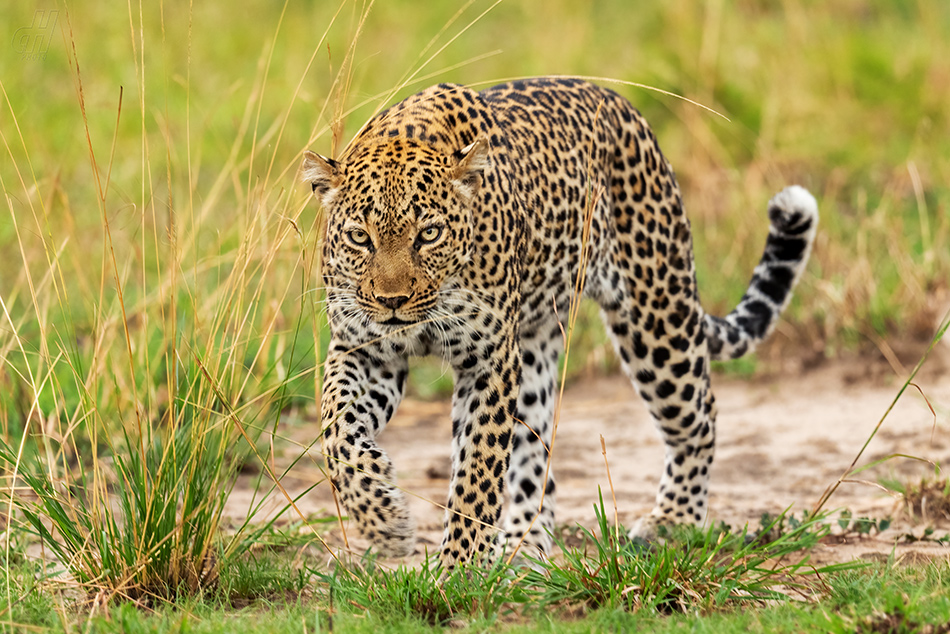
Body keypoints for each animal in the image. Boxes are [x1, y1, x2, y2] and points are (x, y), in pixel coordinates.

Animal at [304, 76, 820, 564]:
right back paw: (520, 548)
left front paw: (457, 570)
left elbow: (477, 473)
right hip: (537, 346)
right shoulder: (364, 351)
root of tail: (623, 105)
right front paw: (384, 521)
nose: (392, 300)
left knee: (699, 417)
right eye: (359, 237)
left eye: (429, 234)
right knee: (535, 459)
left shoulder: (489, 361)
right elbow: (336, 430)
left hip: (656, 316)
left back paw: (672, 521)